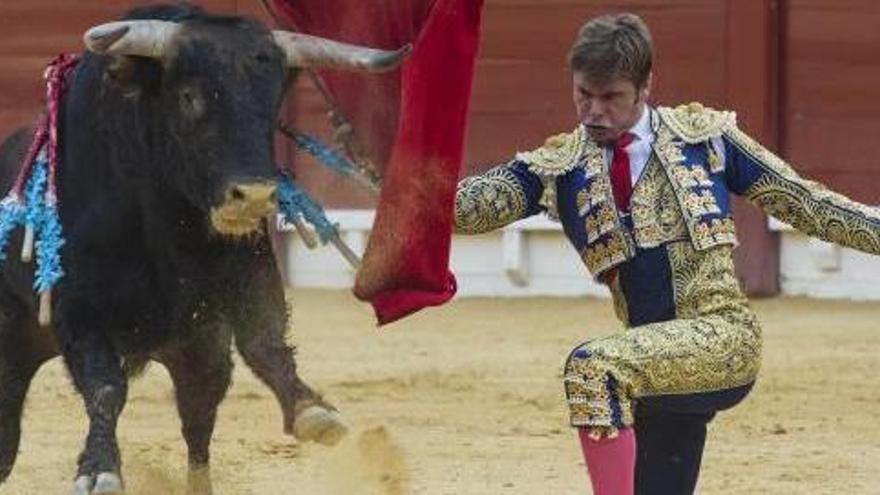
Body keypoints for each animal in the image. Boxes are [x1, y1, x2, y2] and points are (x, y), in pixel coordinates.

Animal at [0, 4, 408, 495]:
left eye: (270, 105)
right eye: (189, 98)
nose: (254, 196)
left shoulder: (239, 285)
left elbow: (264, 342)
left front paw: (312, 410)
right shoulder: (76, 307)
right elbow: (105, 387)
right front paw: (98, 469)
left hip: (192, 349)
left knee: (197, 420)